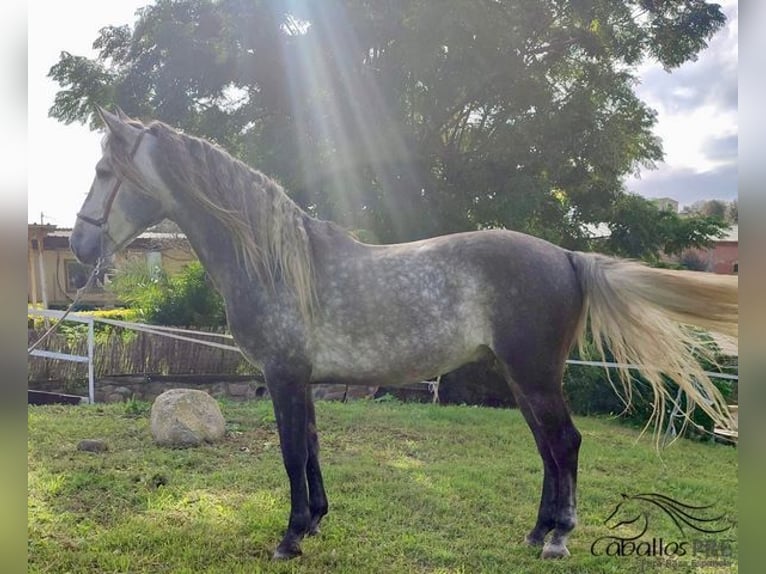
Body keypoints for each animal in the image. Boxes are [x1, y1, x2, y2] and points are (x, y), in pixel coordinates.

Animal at [70, 109, 736, 564]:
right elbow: (311, 449)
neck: (278, 262)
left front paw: (290, 537)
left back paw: (558, 539)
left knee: (565, 444)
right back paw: (537, 531)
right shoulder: (303, 380)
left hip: (535, 375)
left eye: (103, 170)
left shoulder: (283, 376)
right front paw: (315, 521)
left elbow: (291, 453)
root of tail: (567, 256)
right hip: (522, 379)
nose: (79, 247)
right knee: (549, 449)